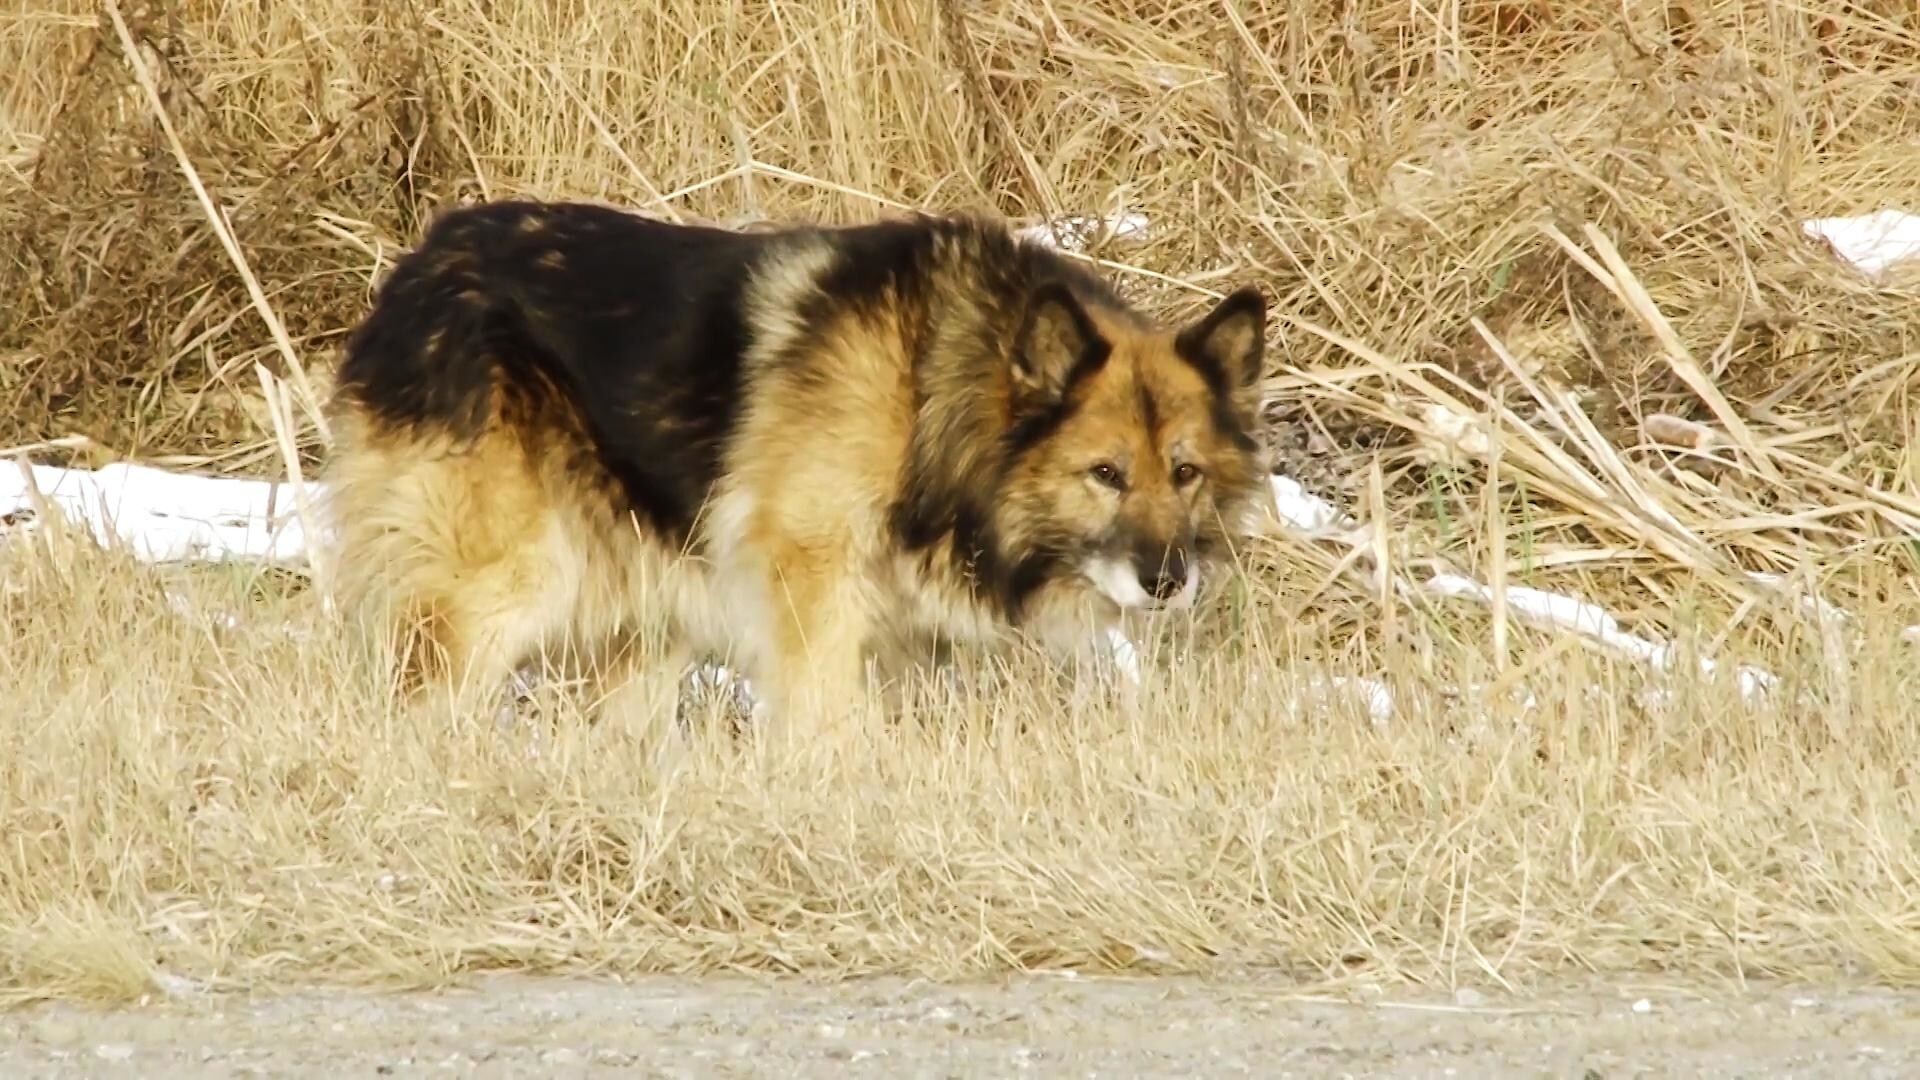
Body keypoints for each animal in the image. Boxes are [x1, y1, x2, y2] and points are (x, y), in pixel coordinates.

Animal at [322, 199, 1267, 737]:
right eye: (1105, 473)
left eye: (1184, 473)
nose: (1168, 580)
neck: (925, 392)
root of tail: (417, 269)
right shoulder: (812, 586)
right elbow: (825, 725)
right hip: (508, 586)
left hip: (650, 622)